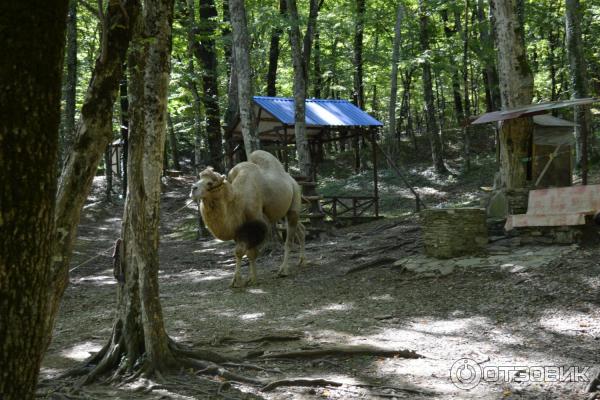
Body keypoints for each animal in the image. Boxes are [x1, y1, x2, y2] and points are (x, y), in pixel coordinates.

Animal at [190, 150, 308, 288]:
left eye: (210, 183)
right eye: (199, 178)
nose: (193, 188)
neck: (237, 201)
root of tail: (292, 180)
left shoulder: (256, 223)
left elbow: (247, 252)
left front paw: (243, 280)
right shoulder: (239, 228)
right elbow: (242, 252)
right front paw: (246, 279)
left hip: (294, 201)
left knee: (289, 240)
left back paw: (283, 270)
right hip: (282, 213)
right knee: (300, 229)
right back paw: (302, 261)